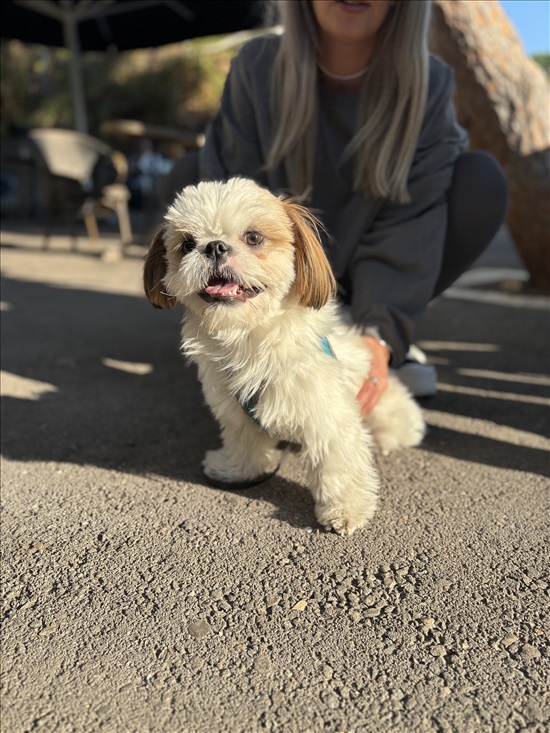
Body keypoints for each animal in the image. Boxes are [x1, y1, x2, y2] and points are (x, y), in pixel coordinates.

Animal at [143, 175, 426, 536]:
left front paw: (345, 509)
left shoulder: (328, 416)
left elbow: (337, 462)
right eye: (187, 243)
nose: (215, 246)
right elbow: (244, 442)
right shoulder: (236, 410)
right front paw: (237, 469)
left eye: (253, 237)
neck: (249, 336)